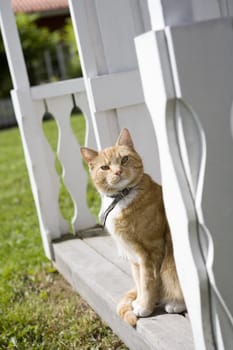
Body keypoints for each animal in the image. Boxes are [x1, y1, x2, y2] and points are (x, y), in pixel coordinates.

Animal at [81, 129, 185, 326]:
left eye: (124, 159)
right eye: (104, 167)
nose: (118, 171)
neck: (122, 196)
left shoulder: (151, 251)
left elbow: (149, 281)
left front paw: (145, 306)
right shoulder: (134, 256)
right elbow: (139, 281)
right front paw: (141, 302)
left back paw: (176, 303)